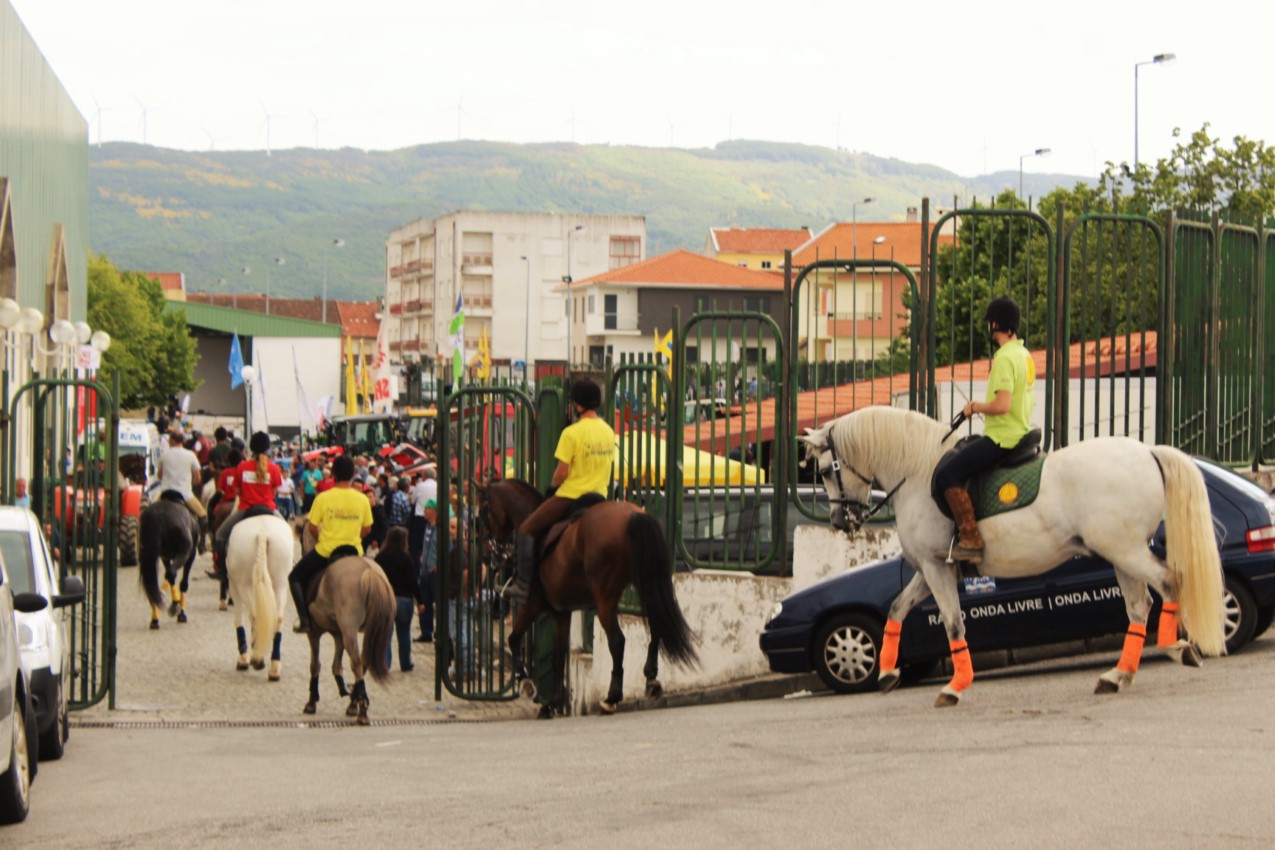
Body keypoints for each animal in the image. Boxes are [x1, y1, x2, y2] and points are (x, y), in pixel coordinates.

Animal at [225, 512, 294, 677]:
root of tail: (263, 532)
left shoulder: (233, 587)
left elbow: (239, 619)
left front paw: (243, 659)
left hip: (243, 585)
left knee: (255, 615)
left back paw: (257, 660)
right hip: (281, 584)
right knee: (278, 618)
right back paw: (274, 667)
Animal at [476, 479, 698, 718]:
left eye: (484, 511)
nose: (490, 555)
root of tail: (633, 515)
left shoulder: (531, 604)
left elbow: (514, 639)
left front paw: (527, 683)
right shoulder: (562, 613)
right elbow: (558, 657)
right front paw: (552, 703)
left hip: (605, 598)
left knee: (617, 641)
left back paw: (612, 697)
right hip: (644, 584)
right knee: (656, 626)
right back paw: (651, 680)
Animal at [800, 407, 1229, 708]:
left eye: (824, 472)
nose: (840, 522)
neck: (918, 472)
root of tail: (1147, 450)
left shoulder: (937, 569)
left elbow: (953, 625)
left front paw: (954, 687)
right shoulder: (931, 568)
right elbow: (896, 609)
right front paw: (888, 673)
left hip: (1125, 550)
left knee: (1169, 583)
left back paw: (1177, 647)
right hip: (1119, 554)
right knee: (1139, 607)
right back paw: (1118, 676)